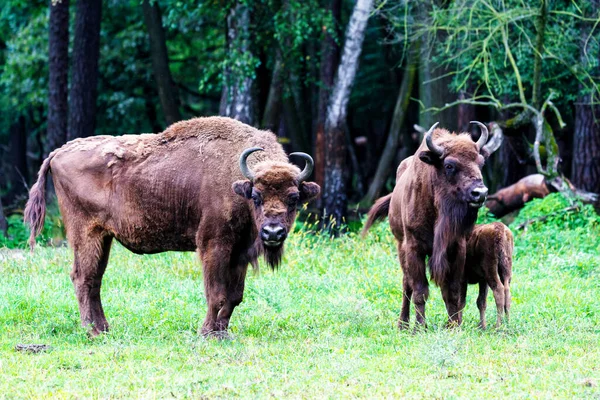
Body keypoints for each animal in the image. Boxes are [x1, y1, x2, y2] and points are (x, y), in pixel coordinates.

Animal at [25, 115, 322, 338]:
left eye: (293, 198)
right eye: (257, 196)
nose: (273, 232)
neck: (237, 181)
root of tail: (58, 152)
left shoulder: (240, 252)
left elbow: (234, 296)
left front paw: (222, 332)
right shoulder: (213, 245)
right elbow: (216, 293)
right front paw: (206, 333)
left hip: (104, 237)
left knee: (94, 279)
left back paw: (105, 328)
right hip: (85, 233)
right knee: (82, 277)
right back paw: (93, 331)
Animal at [364, 120, 490, 330]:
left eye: (480, 162)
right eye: (449, 165)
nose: (479, 193)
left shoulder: (456, 248)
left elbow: (452, 291)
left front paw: (453, 325)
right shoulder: (414, 249)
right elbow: (420, 290)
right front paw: (419, 328)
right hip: (400, 246)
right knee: (406, 284)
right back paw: (403, 324)